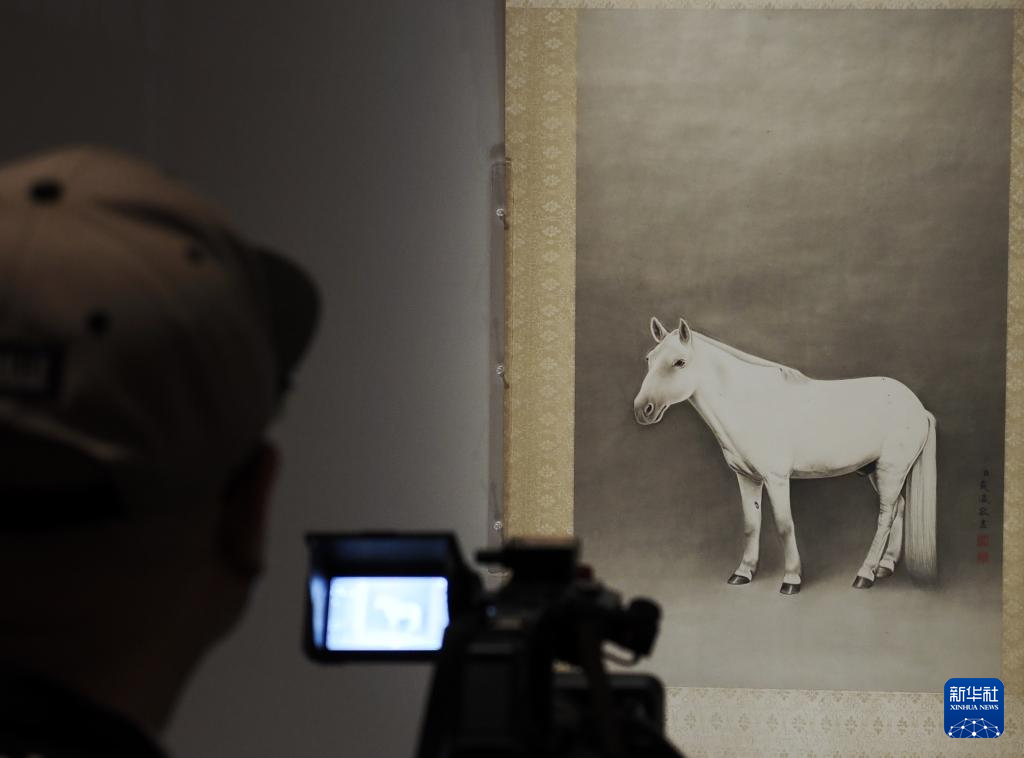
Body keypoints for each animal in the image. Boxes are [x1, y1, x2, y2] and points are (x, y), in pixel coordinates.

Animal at [632, 317, 937, 595]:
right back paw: (885, 566)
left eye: (679, 362)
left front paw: (791, 579)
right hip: (877, 471)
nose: (642, 409)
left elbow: (784, 525)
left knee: (885, 517)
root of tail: (919, 409)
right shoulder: (747, 478)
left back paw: (865, 575)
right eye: (649, 359)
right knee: (898, 508)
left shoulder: (776, 479)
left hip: (891, 471)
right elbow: (751, 525)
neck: (751, 403)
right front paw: (743, 572)